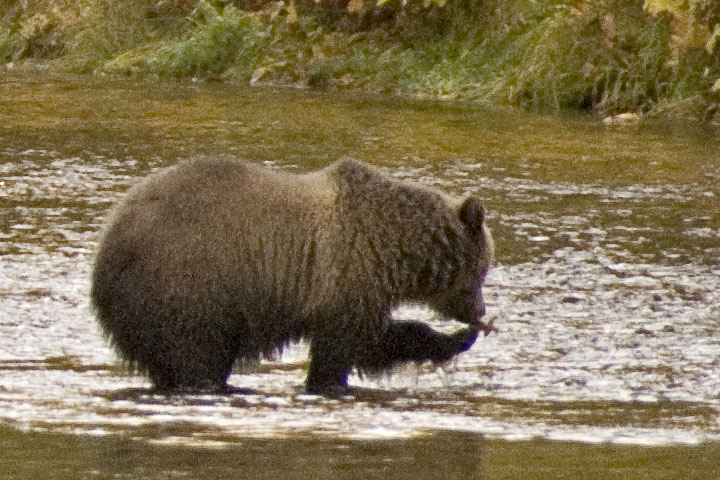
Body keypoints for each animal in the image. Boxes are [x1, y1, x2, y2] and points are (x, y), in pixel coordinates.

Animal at [90, 159, 496, 396]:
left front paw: (456, 337)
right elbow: (350, 346)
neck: (393, 247)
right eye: (482, 270)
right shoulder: (347, 274)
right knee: (194, 357)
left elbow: (376, 342)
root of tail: (109, 240)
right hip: (187, 285)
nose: (479, 310)